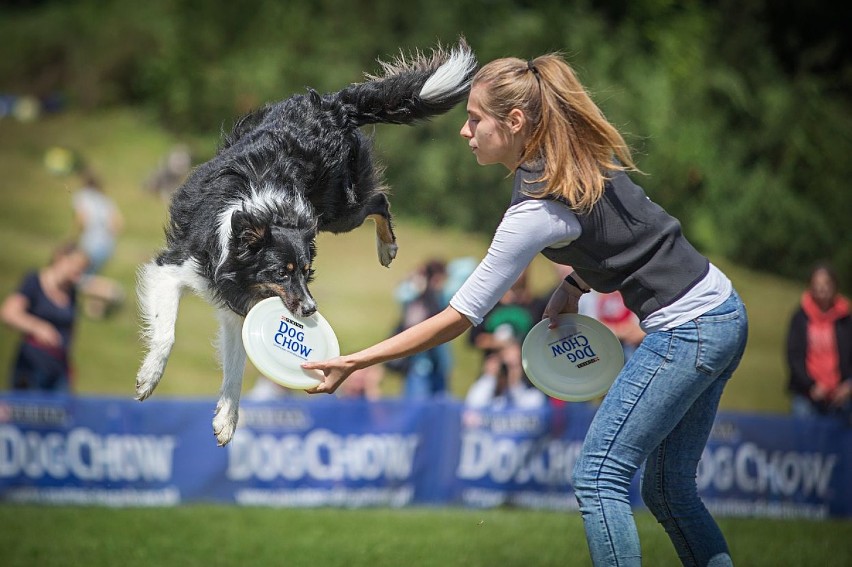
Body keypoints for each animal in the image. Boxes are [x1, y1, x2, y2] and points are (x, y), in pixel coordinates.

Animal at [136, 41, 476, 448]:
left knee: (378, 200)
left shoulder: (239, 304)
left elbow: (236, 367)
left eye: (307, 272)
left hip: (337, 211)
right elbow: (169, 334)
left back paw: (387, 246)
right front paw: (151, 378)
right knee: (377, 199)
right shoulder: (174, 268)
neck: (258, 216)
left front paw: (226, 420)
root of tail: (333, 104)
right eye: (281, 273)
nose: (312, 310)